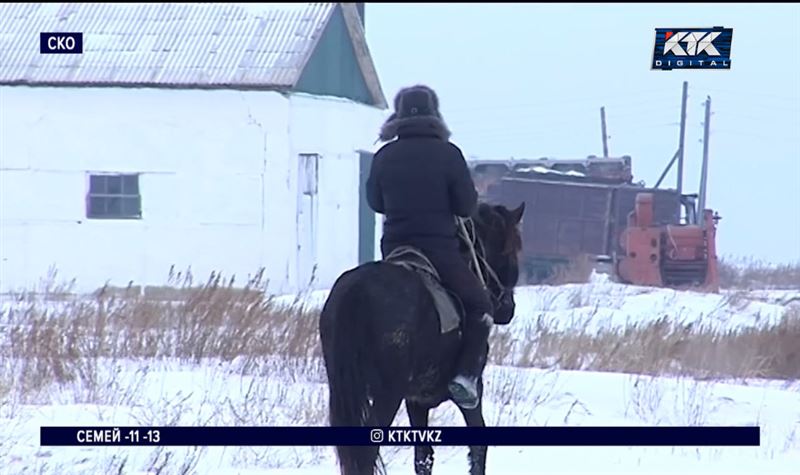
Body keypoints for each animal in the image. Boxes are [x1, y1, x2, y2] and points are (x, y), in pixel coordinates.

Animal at [318, 202, 524, 475]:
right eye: (511, 249)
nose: (508, 309)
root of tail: (356, 291)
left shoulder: (416, 402)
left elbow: (423, 457)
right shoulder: (473, 392)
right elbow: (478, 446)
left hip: (345, 389)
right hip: (387, 393)